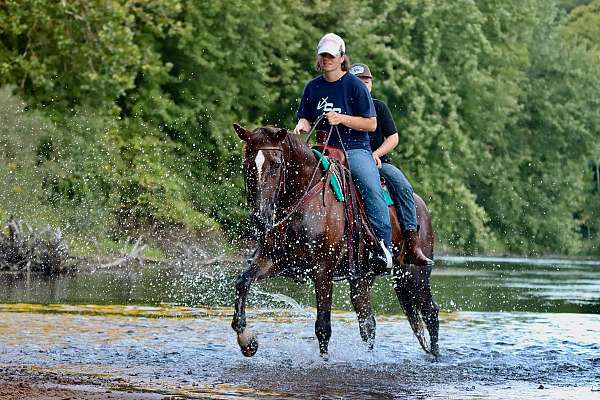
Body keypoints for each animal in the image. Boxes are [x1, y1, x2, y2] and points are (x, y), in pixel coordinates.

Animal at [231, 123, 440, 358]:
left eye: (276, 164)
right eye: (246, 165)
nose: (260, 218)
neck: (302, 200)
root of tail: (421, 204)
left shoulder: (323, 270)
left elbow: (323, 326)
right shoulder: (272, 259)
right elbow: (242, 282)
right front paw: (247, 340)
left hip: (413, 274)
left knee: (430, 312)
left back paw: (435, 356)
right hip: (362, 278)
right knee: (368, 323)